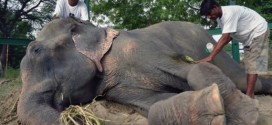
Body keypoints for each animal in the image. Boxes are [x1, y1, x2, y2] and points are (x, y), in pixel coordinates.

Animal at [17, 17, 272, 124]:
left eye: (36, 50)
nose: (79, 117)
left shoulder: (139, 49)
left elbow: (192, 69)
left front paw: (248, 115)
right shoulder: (116, 87)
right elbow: (152, 105)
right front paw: (210, 110)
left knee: (244, 79)